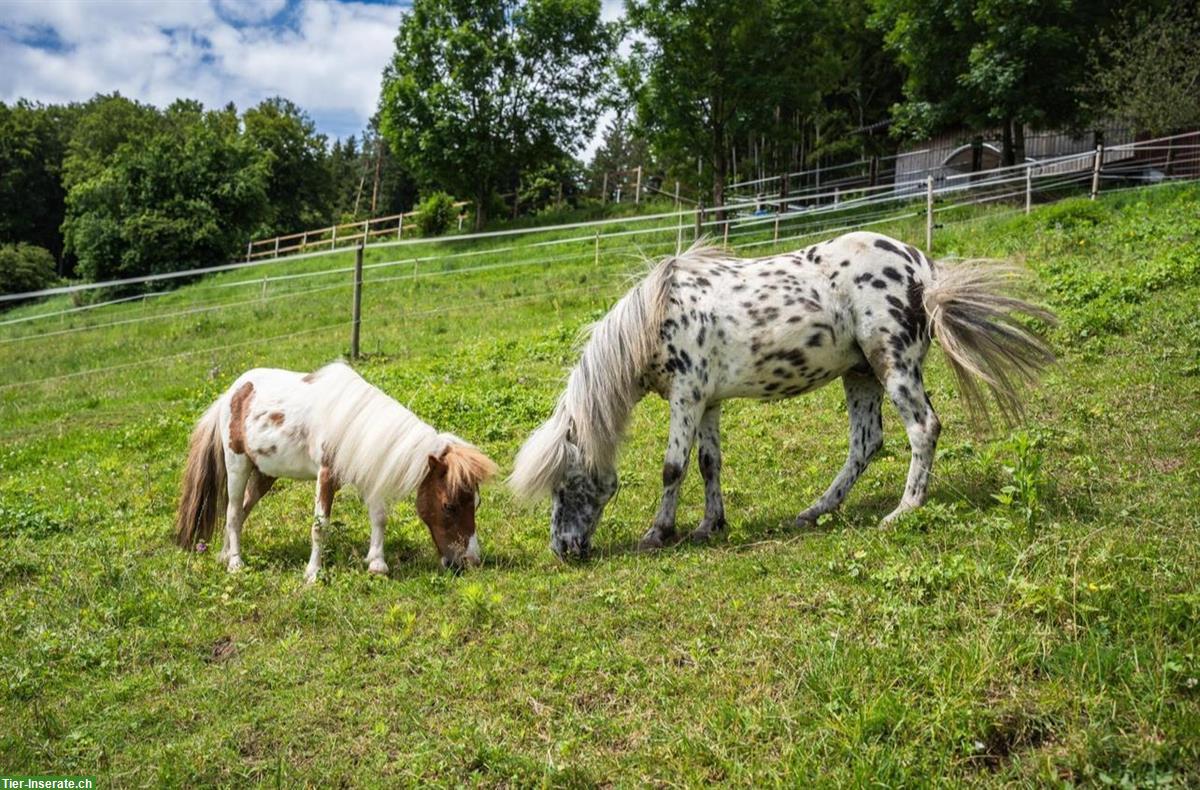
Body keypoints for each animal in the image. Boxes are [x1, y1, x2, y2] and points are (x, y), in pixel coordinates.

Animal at [174, 362, 496, 578]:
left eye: (476, 503)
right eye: (449, 505)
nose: (471, 561)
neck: (355, 424)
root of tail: (232, 393)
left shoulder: (368, 469)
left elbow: (379, 517)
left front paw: (377, 563)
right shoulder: (326, 476)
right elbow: (320, 526)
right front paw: (313, 574)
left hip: (265, 474)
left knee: (241, 511)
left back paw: (225, 554)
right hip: (237, 466)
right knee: (231, 513)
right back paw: (236, 563)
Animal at [511, 230, 1056, 557]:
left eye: (566, 483)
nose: (563, 549)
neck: (657, 317)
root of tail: (922, 268)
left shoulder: (687, 396)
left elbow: (673, 467)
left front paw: (658, 533)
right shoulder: (708, 402)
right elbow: (709, 463)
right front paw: (710, 525)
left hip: (892, 363)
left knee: (923, 428)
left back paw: (903, 511)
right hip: (860, 374)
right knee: (866, 443)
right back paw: (815, 511)